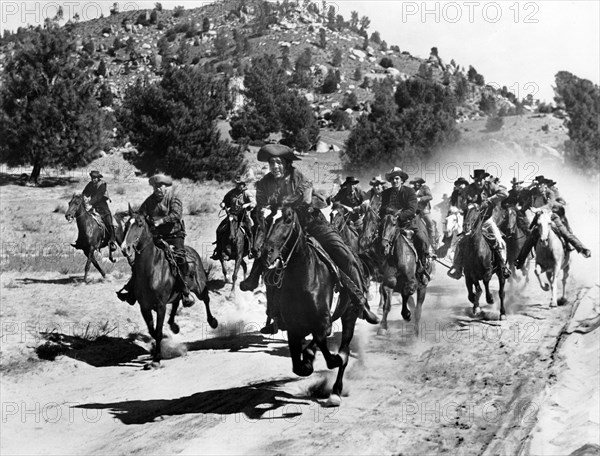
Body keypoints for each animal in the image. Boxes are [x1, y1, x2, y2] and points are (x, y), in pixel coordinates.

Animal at [120, 208, 217, 368]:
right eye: (126, 224)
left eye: (140, 224)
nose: (125, 248)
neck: (151, 270)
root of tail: (191, 251)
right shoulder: (144, 307)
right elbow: (153, 331)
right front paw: (156, 352)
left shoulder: (160, 306)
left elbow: (158, 332)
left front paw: (156, 360)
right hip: (177, 293)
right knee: (178, 301)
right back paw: (174, 325)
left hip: (199, 287)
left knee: (206, 299)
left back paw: (212, 322)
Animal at [262, 206, 356, 406]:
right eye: (267, 219)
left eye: (288, 219)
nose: (267, 253)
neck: (304, 278)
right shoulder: (293, 328)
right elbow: (298, 365)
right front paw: (307, 361)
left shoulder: (324, 322)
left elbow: (327, 350)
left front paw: (323, 358)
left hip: (349, 315)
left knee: (344, 350)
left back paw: (336, 391)